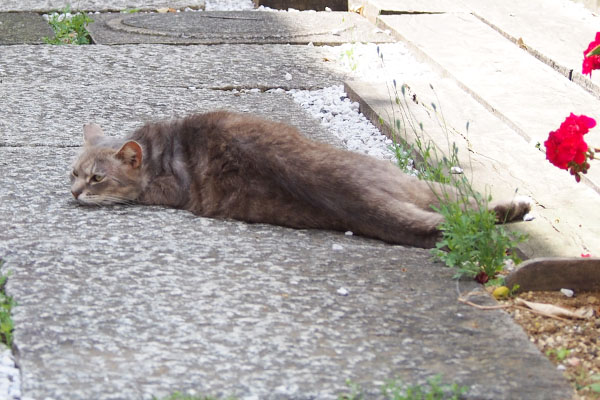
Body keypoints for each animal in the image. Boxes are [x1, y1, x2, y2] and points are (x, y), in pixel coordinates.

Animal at [70, 109, 528, 247]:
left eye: (95, 178)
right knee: (462, 208)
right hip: (413, 184)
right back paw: (513, 208)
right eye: (74, 173)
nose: (73, 192)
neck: (159, 149)